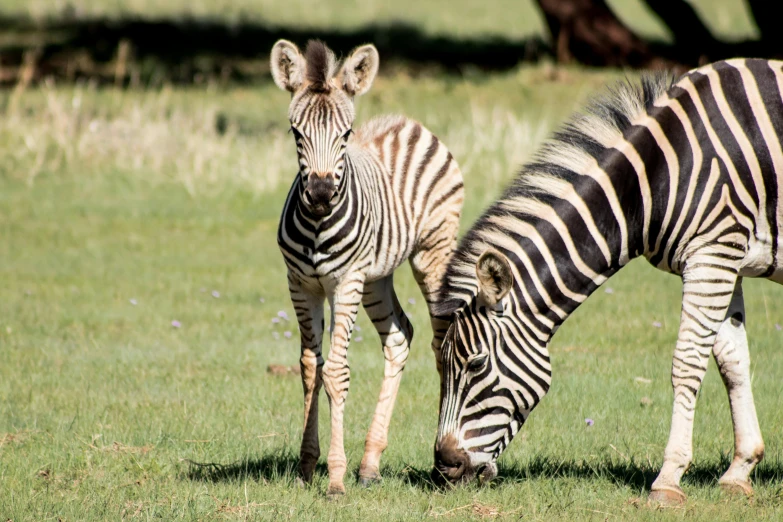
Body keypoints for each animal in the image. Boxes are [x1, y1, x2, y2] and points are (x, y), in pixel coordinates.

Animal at [272, 38, 466, 494]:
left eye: (345, 134)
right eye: (296, 133)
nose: (320, 193)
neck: (317, 225)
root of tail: (408, 123)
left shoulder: (344, 282)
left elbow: (337, 373)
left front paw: (335, 477)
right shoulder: (301, 284)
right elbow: (310, 368)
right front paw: (307, 466)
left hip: (431, 254)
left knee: (442, 344)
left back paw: (439, 461)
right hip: (376, 278)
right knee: (399, 337)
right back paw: (370, 463)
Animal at [432, 59, 783, 502]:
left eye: (476, 364)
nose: (444, 469)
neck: (653, 180)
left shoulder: (713, 252)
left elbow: (687, 362)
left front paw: (668, 479)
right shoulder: (723, 257)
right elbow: (732, 361)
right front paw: (740, 469)